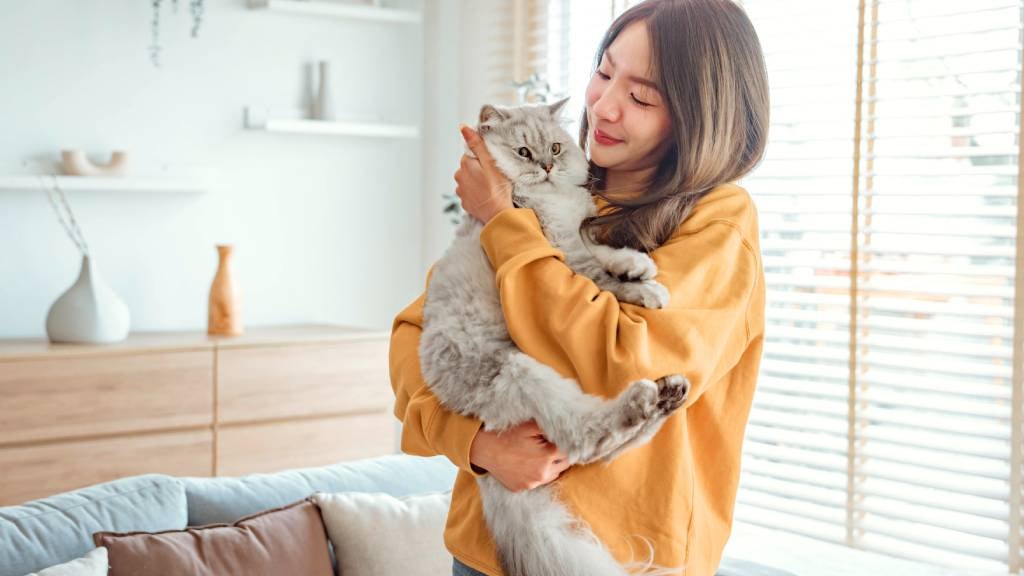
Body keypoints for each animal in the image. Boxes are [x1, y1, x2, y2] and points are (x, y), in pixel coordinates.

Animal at [419, 98, 692, 573]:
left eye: (556, 148)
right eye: (525, 153)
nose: (546, 166)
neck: (552, 199)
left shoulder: (575, 230)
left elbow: (604, 252)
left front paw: (638, 265)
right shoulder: (561, 248)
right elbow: (601, 278)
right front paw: (647, 288)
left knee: (608, 447)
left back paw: (667, 394)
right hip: (519, 371)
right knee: (588, 438)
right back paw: (646, 401)